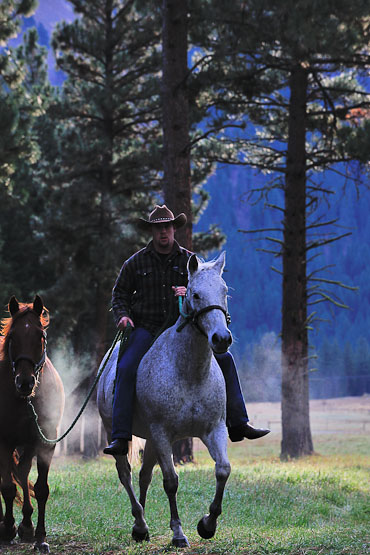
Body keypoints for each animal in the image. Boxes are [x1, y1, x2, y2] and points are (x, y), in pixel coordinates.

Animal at [0, 296, 64, 552]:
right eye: (12, 337)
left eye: (40, 336)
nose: (25, 382)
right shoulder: (5, 442)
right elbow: (8, 487)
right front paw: (8, 528)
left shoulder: (45, 442)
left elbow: (40, 488)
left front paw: (39, 537)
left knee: (22, 469)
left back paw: (26, 524)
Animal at [97, 252, 233, 548]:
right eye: (195, 294)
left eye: (224, 291)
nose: (221, 338)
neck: (190, 373)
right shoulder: (162, 433)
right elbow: (171, 481)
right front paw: (179, 533)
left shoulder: (213, 429)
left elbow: (223, 470)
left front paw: (208, 524)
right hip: (119, 434)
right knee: (125, 474)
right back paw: (139, 522)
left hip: (150, 439)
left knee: (144, 476)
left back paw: (141, 528)